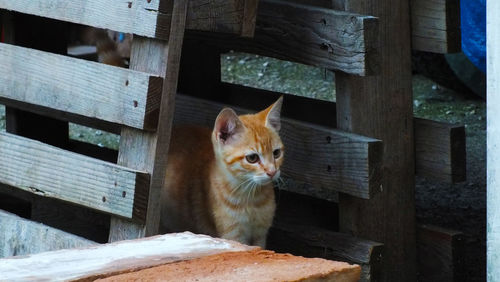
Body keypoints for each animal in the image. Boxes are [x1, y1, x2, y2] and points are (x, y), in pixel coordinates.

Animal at [161, 98, 284, 248]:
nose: (272, 171)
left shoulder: (260, 234)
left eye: (276, 153)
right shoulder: (232, 236)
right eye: (252, 158)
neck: (251, 199)